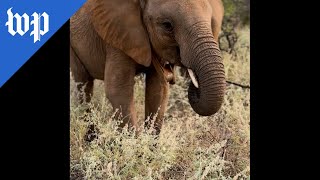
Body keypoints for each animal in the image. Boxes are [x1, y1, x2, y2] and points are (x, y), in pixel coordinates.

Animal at [70, 0, 225, 136]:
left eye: (211, 22)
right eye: (167, 25)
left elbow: (158, 91)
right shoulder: (117, 36)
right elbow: (119, 91)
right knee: (84, 86)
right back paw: (92, 138)